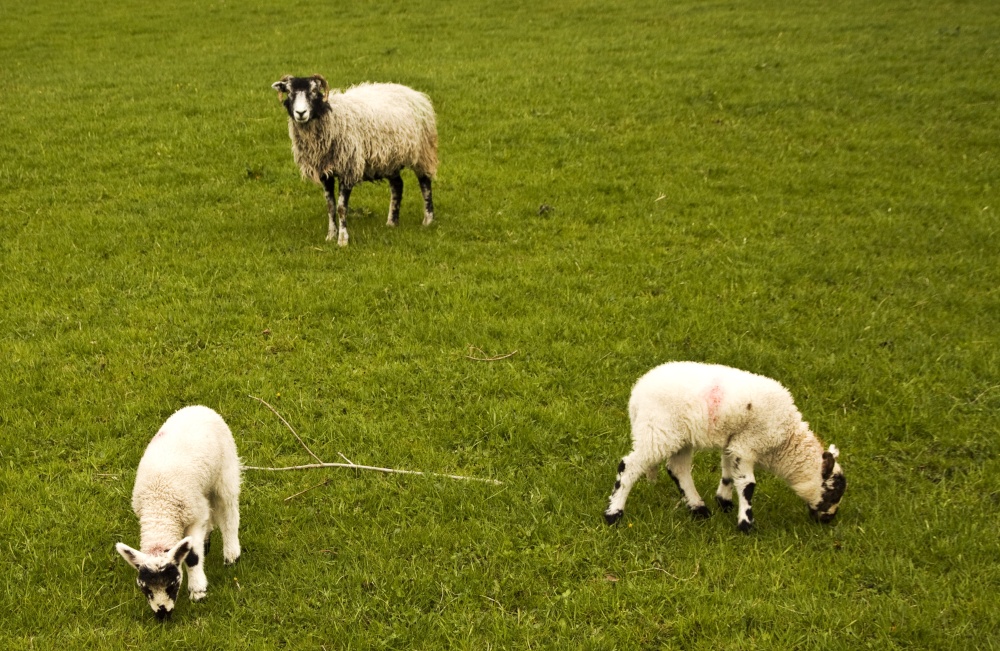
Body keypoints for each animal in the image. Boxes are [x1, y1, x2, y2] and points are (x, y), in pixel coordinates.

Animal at [115, 404, 242, 620]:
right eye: (145, 589)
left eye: (173, 584)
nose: (163, 614)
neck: (160, 510)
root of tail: (198, 407)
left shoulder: (194, 518)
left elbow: (192, 556)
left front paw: (198, 591)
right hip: (202, 491)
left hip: (226, 470)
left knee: (229, 512)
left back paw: (232, 554)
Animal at [270, 74, 438, 247]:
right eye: (289, 92)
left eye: (314, 91)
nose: (300, 113)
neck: (331, 117)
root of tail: (413, 92)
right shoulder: (325, 173)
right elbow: (330, 206)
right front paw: (331, 235)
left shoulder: (348, 168)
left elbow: (341, 208)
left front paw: (343, 240)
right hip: (389, 160)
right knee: (397, 185)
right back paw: (392, 222)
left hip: (423, 152)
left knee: (425, 183)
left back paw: (428, 220)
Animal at [604, 362, 848, 536]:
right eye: (833, 491)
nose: (829, 519)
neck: (785, 441)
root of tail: (636, 394)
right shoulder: (749, 443)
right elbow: (748, 485)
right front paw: (746, 525)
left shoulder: (735, 443)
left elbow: (729, 473)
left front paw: (724, 501)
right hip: (658, 430)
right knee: (629, 466)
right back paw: (613, 514)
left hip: (680, 436)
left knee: (677, 469)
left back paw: (698, 508)